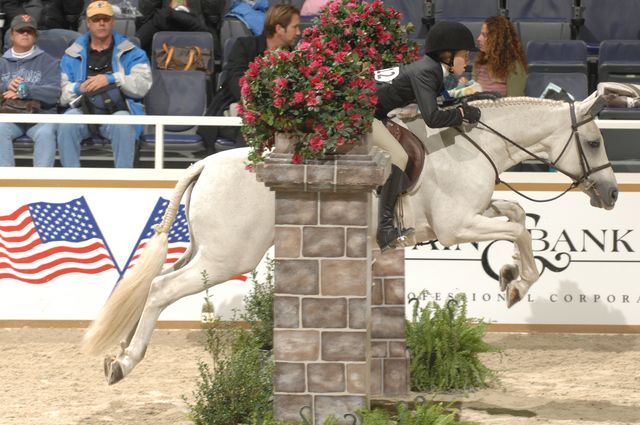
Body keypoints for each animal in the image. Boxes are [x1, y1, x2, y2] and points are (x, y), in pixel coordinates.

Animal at [84, 94, 616, 382]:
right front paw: (517, 284)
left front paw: (506, 275)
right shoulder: (457, 225)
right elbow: (519, 229)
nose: (611, 194)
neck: (475, 144)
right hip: (229, 256)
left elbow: (516, 214)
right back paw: (125, 363)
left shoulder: (473, 214)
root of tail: (204, 164)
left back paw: (119, 353)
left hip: (205, 250)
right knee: (160, 289)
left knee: (153, 285)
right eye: (593, 143)